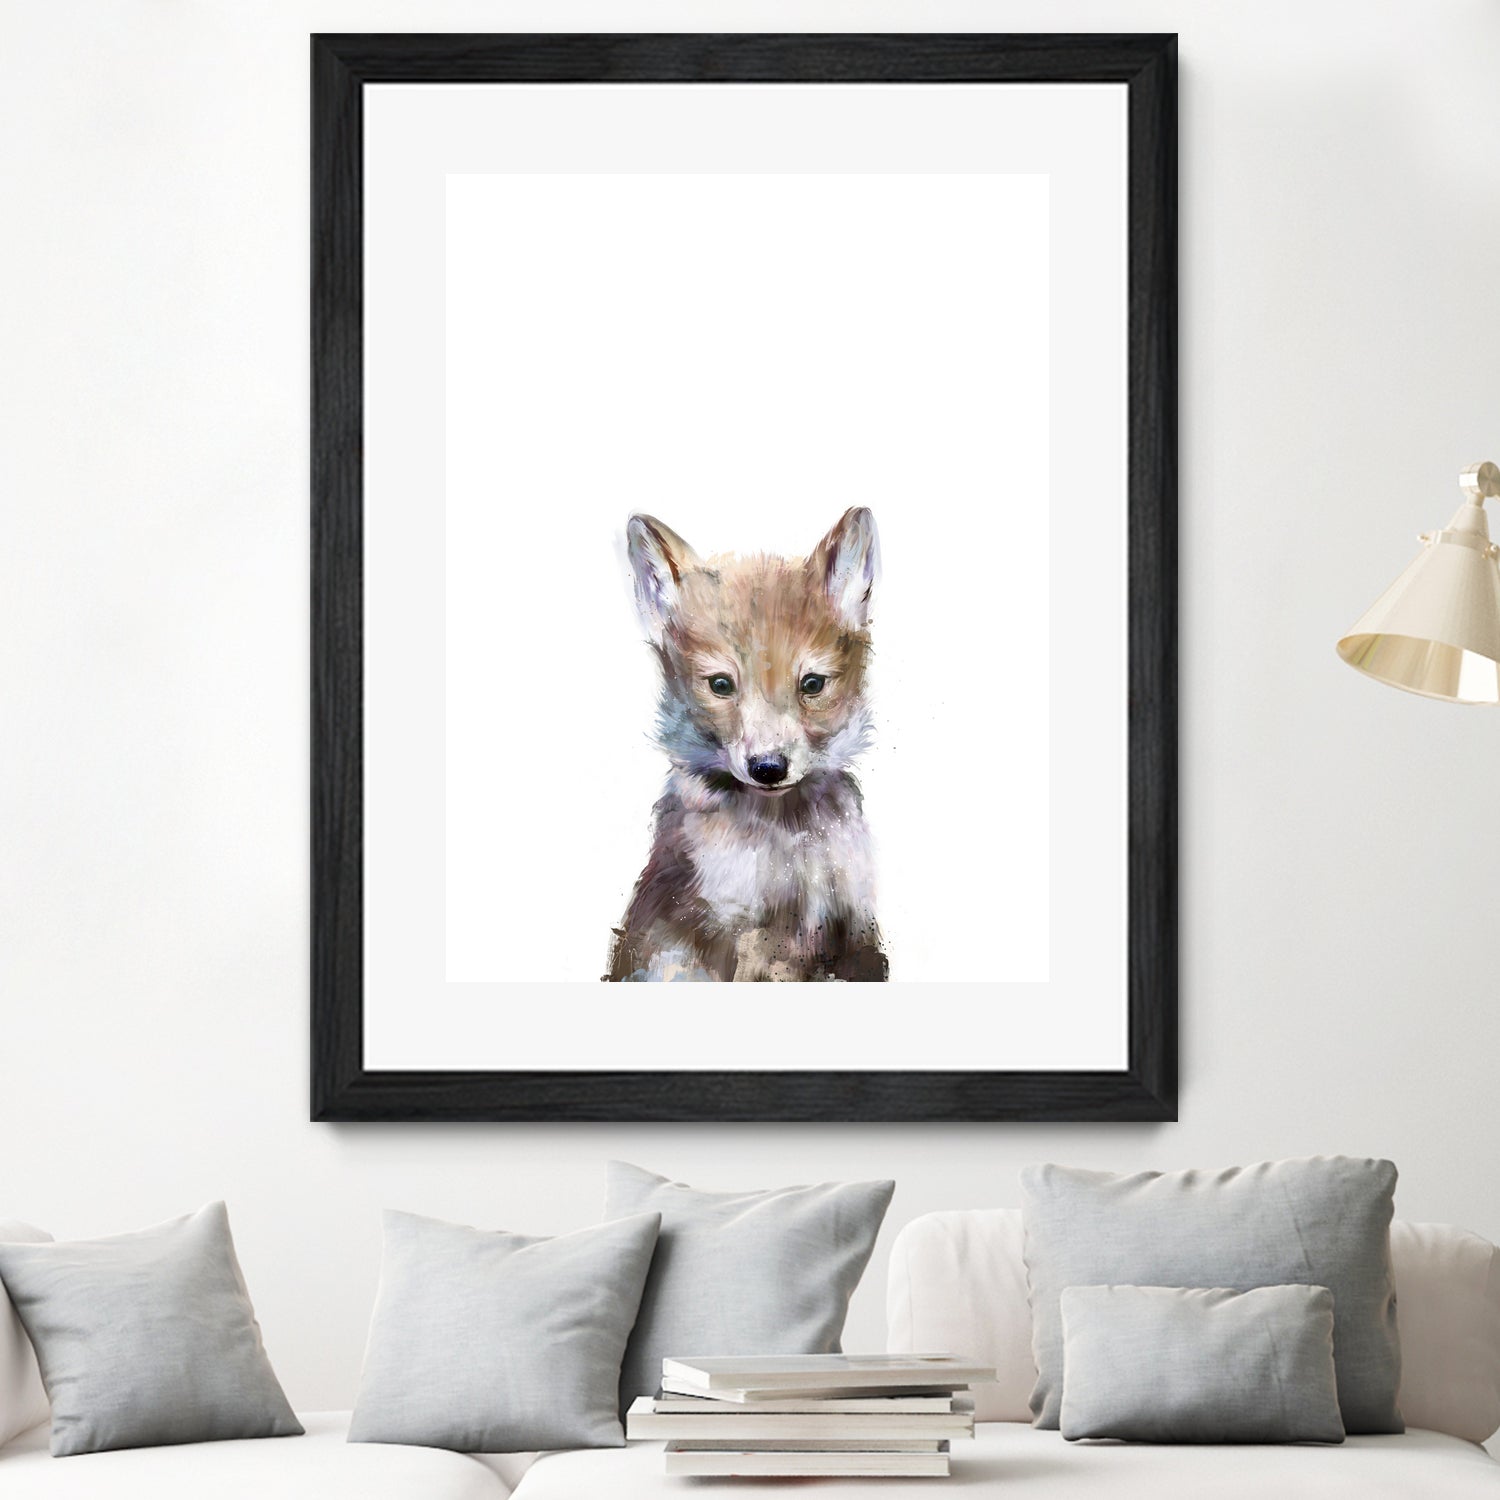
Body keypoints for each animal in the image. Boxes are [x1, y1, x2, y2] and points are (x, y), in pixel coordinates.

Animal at [606, 508, 888, 983]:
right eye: (721, 685)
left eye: (813, 684)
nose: (768, 768)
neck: (787, 841)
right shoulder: (737, 930)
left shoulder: (853, 926)